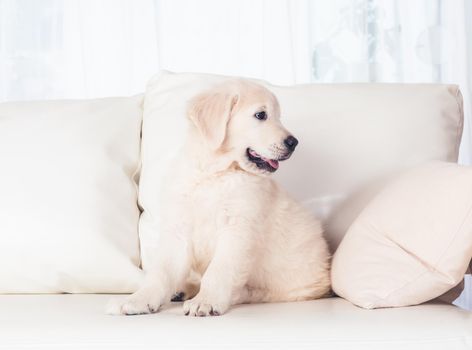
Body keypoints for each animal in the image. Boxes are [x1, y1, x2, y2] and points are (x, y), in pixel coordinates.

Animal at [109, 80, 332, 318]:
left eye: (278, 116)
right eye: (261, 115)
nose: (293, 142)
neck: (214, 174)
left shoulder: (238, 231)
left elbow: (219, 271)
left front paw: (206, 301)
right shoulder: (178, 231)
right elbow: (161, 272)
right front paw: (139, 299)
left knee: (249, 291)